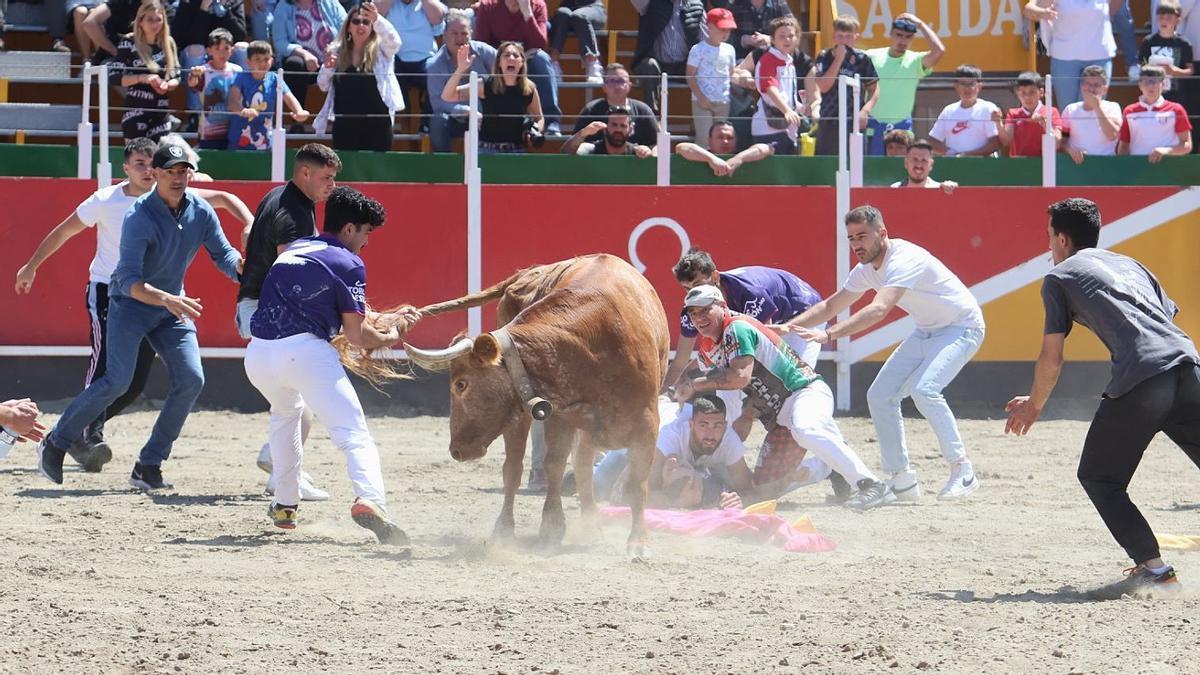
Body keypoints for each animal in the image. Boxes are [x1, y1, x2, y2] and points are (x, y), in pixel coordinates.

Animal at [403, 254, 667, 550]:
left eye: (461, 384)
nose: (456, 450)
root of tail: (528, 273)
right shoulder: (559, 415)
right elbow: (554, 465)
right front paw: (551, 527)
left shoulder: (647, 422)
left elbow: (636, 482)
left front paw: (638, 541)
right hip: (519, 416)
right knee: (514, 470)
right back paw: (503, 530)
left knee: (582, 465)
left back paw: (591, 527)